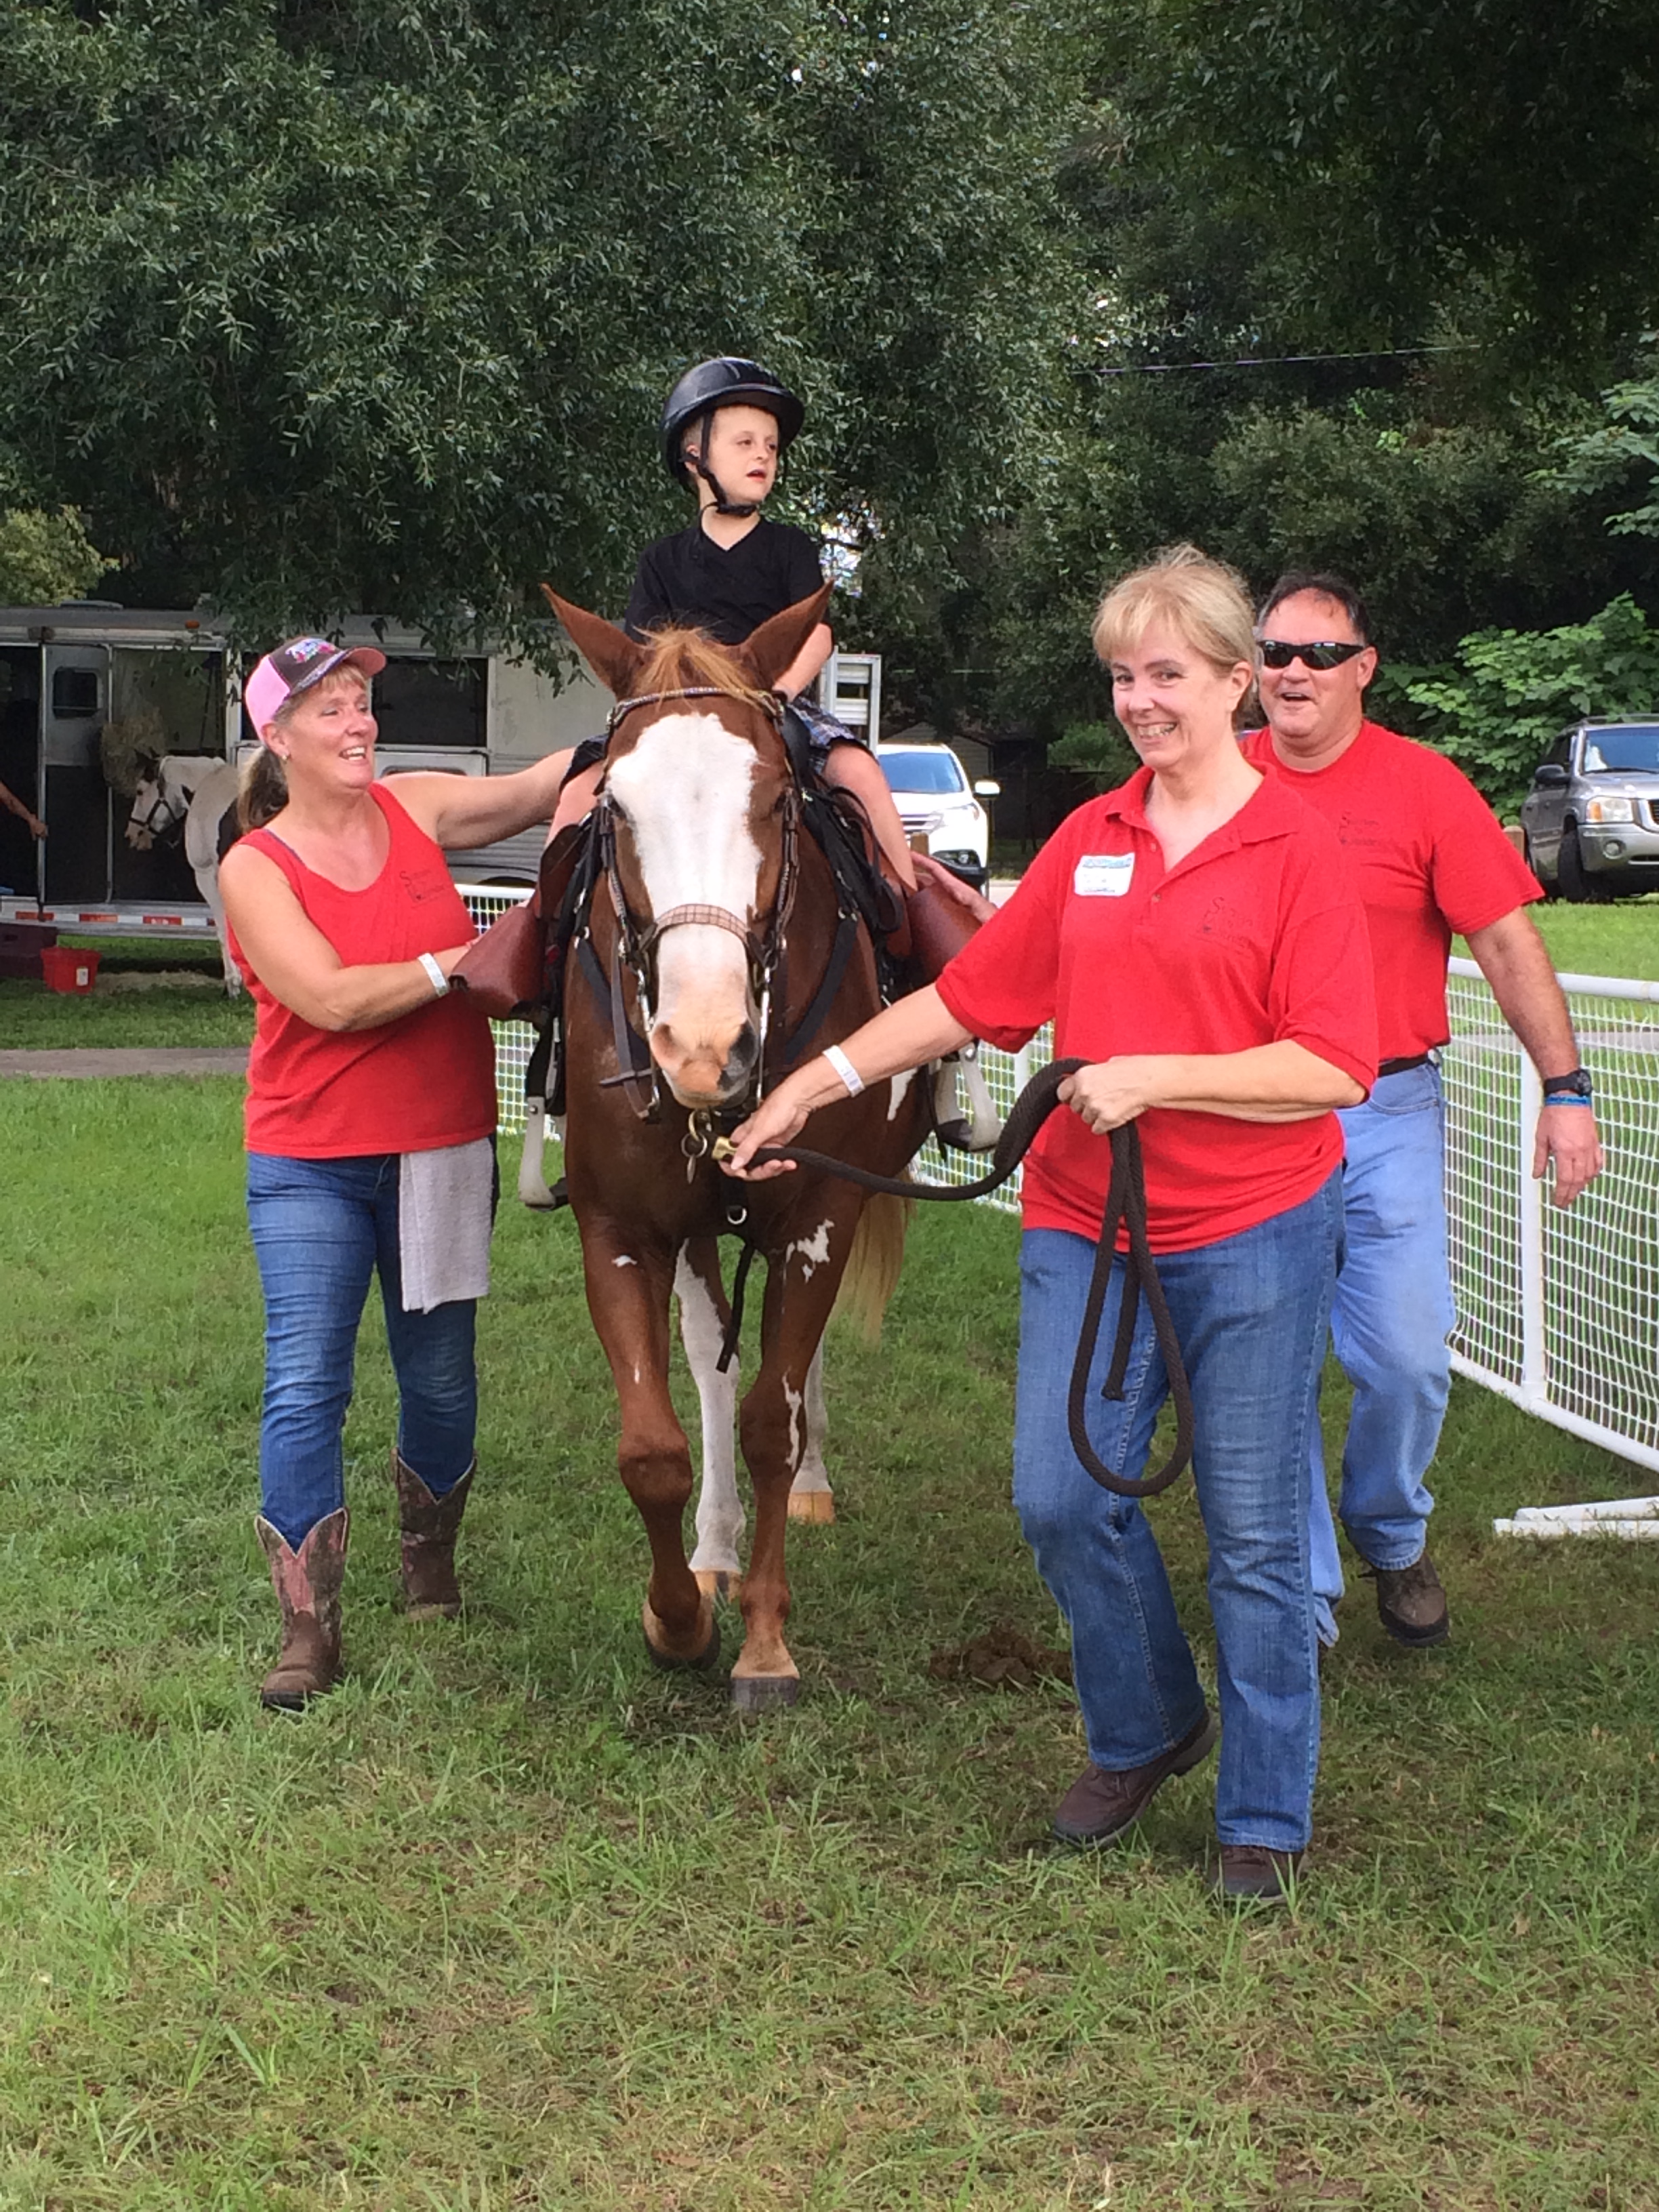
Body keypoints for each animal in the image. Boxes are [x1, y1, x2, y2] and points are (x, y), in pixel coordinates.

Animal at [548, 583, 928, 1707]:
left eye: (775, 799)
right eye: (615, 808)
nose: (704, 1046)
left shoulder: (819, 1217)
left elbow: (775, 1418)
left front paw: (763, 1639)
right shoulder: (622, 1228)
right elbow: (655, 1445)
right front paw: (680, 1617)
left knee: (790, 1386)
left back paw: (805, 1490)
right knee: (712, 1371)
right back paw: (713, 1550)